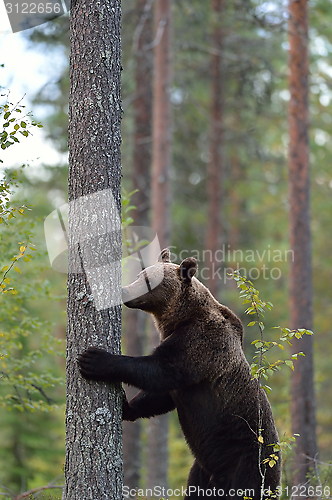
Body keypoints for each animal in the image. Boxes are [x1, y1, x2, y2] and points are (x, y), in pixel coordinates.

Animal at [78, 248, 280, 498]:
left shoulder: (200, 344)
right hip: (201, 471)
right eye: (141, 275)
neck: (179, 319)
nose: (124, 290)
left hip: (251, 458)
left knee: (249, 486)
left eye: (148, 281)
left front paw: (94, 359)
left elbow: (161, 371)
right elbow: (160, 396)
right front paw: (126, 406)